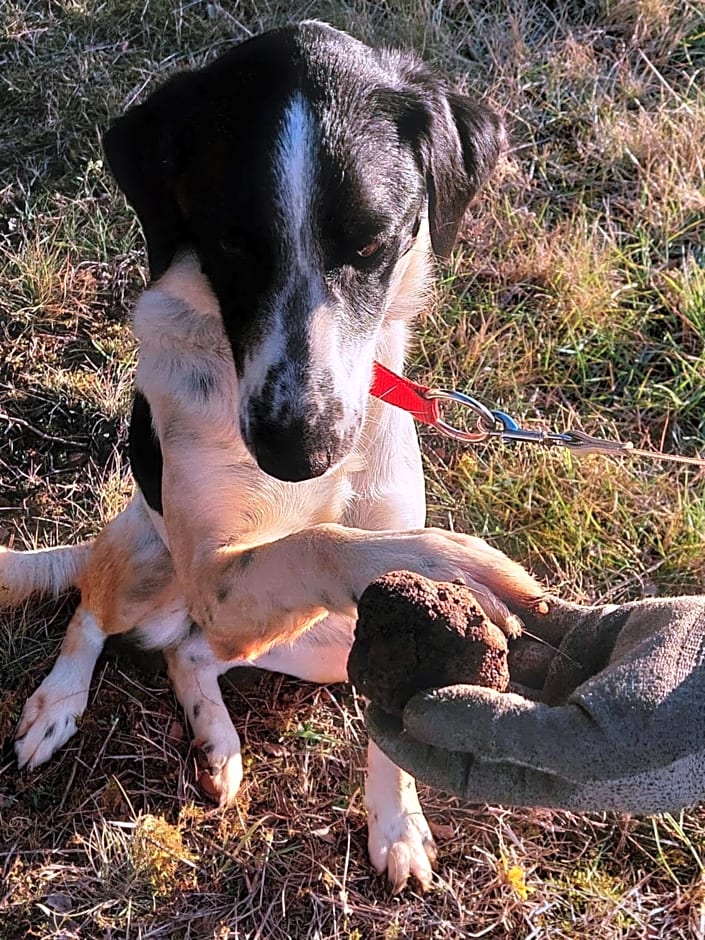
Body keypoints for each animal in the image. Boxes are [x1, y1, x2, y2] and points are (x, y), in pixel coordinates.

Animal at [0, 20, 544, 888]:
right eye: (230, 242)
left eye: (373, 245)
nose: (301, 451)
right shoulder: (218, 568)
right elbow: (321, 539)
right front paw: (446, 561)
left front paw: (396, 823)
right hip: (147, 558)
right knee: (92, 608)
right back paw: (58, 705)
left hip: (320, 644)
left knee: (192, 651)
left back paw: (216, 742)